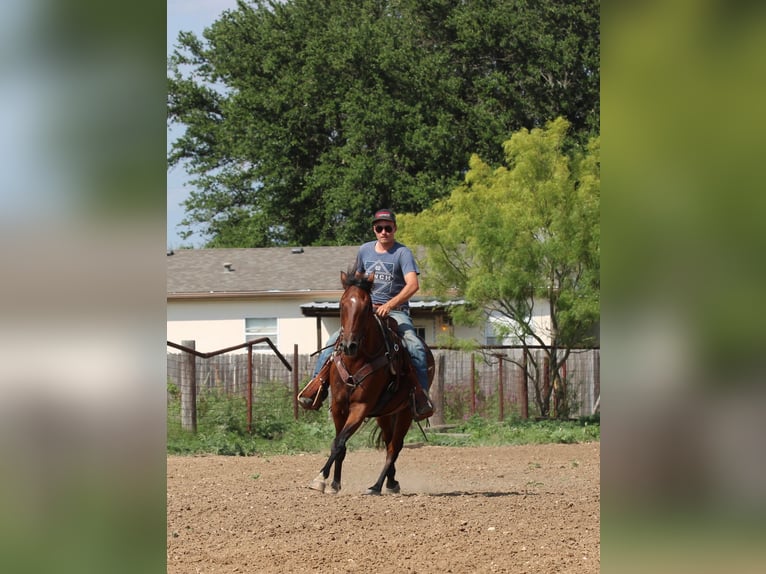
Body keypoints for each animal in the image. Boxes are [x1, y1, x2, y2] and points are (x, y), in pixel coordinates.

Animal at [308, 272, 438, 498]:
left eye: (367, 306)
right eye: (342, 304)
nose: (349, 345)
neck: (357, 359)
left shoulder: (360, 407)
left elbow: (340, 442)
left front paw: (320, 479)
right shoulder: (339, 407)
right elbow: (339, 443)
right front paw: (334, 483)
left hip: (405, 411)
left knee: (395, 447)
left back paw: (376, 486)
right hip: (385, 414)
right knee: (388, 442)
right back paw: (391, 482)